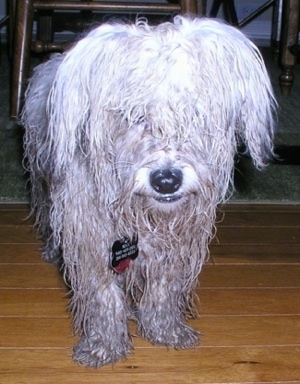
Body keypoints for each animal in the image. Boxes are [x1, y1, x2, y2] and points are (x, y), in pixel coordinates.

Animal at [22, 16, 276, 368]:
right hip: (44, 178)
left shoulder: (176, 245)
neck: (143, 215)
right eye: (134, 115)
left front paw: (164, 329)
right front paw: (104, 346)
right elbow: (103, 295)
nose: (166, 180)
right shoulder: (91, 237)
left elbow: (164, 288)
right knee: (46, 214)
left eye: (194, 114)